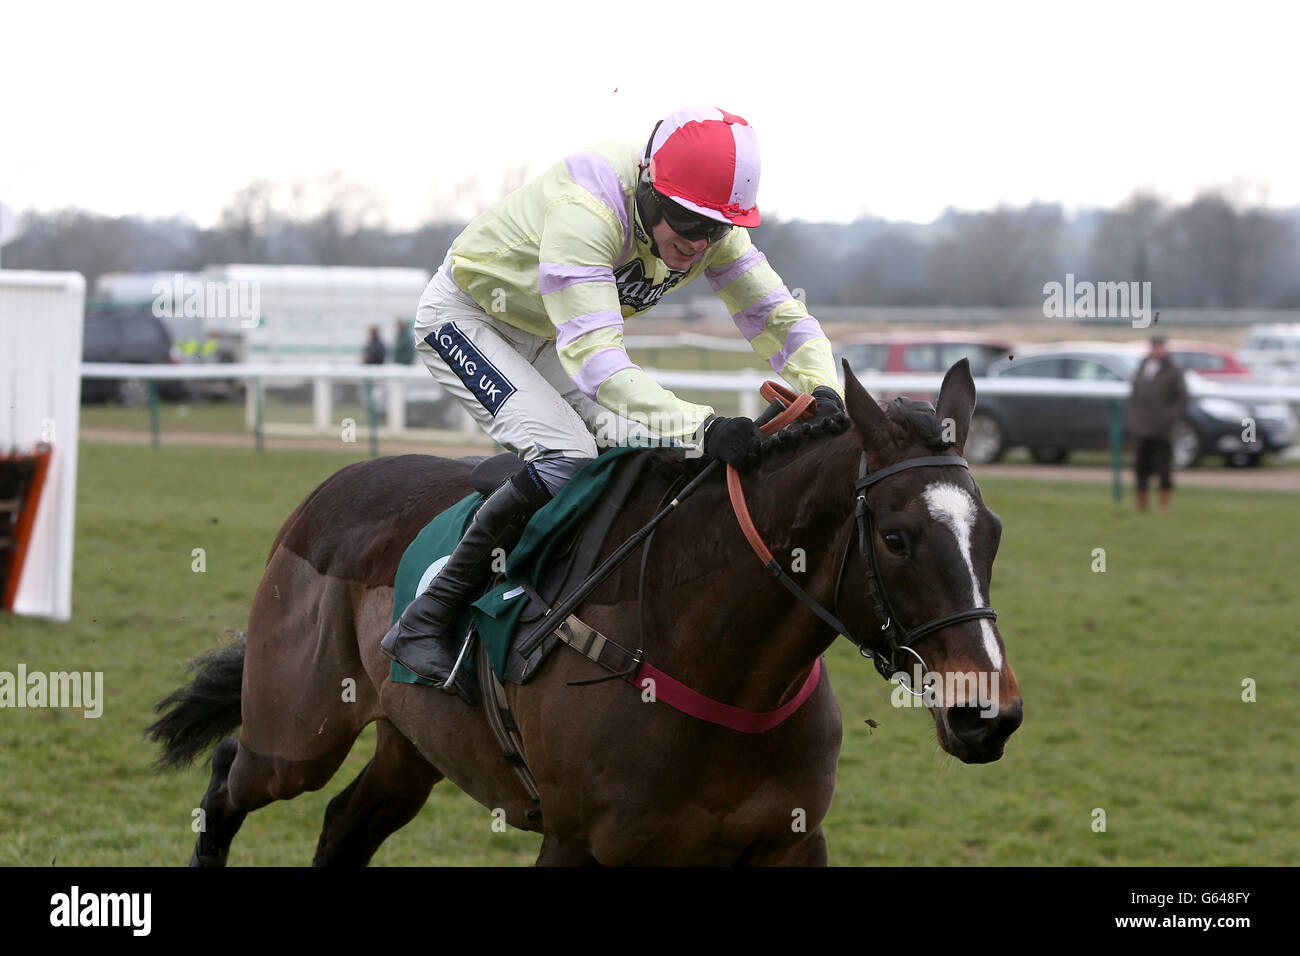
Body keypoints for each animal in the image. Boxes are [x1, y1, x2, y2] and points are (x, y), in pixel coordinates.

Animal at [149, 358, 1024, 868]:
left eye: (992, 532)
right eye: (898, 537)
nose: (988, 714)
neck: (716, 663)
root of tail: (328, 492)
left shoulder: (790, 843)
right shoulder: (580, 845)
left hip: (412, 742)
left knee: (343, 827)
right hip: (297, 730)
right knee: (231, 776)